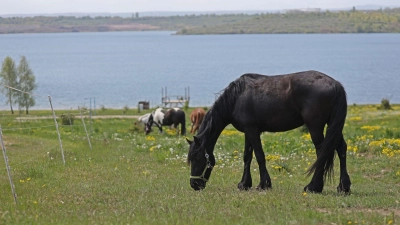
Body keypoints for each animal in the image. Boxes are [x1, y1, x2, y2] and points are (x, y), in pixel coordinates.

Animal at [187, 70, 350, 193]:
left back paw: (313, 187)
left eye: (197, 158)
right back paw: (343, 187)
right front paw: (244, 184)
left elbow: (259, 156)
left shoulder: (253, 131)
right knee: (341, 149)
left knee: (322, 152)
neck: (237, 97)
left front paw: (263, 184)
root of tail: (335, 84)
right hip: (333, 126)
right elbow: (247, 156)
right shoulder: (248, 131)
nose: (194, 185)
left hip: (315, 127)